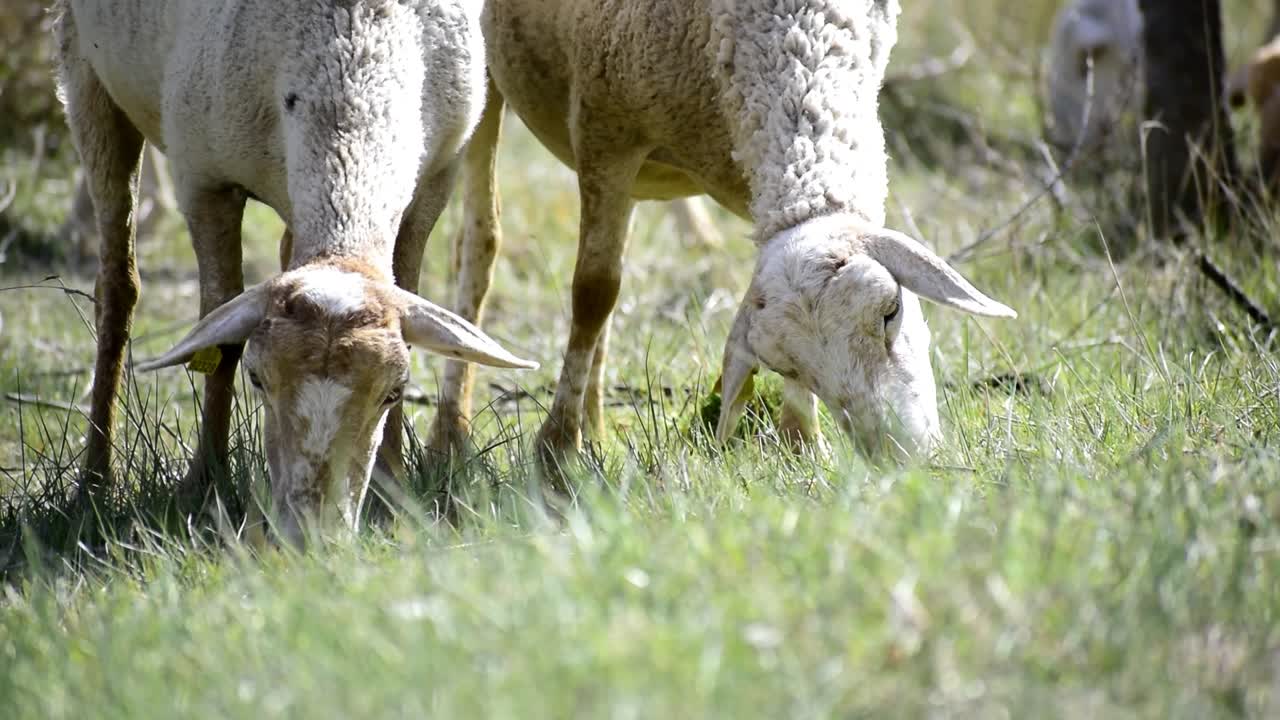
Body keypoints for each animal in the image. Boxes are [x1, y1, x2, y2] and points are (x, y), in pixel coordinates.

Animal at [55, 0, 537, 544]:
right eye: (257, 380)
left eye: (395, 391)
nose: (312, 536)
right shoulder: (204, 179)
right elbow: (219, 334)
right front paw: (206, 484)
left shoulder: (436, 179)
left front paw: (392, 490)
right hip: (85, 68)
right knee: (117, 284)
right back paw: (95, 481)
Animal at [426, 0, 1015, 472]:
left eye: (891, 310)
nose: (902, 460)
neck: (786, 25)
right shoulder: (603, 126)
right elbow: (593, 291)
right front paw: (555, 448)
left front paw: (804, 443)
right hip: (483, 76)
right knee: (479, 244)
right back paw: (450, 436)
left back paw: (593, 427)